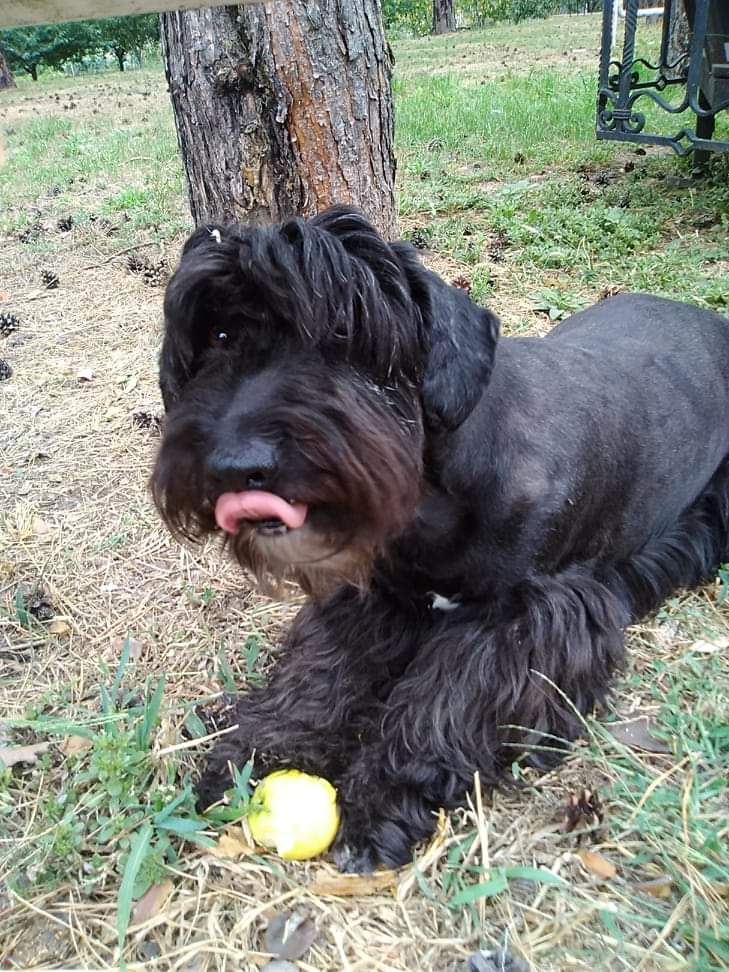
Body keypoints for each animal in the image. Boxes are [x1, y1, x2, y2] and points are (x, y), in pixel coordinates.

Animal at [152, 205, 729, 873]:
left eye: (343, 335)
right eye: (219, 336)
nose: (233, 465)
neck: (434, 496)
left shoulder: (519, 621)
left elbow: (443, 703)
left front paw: (383, 798)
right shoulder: (375, 597)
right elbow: (319, 674)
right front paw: (256, 747)